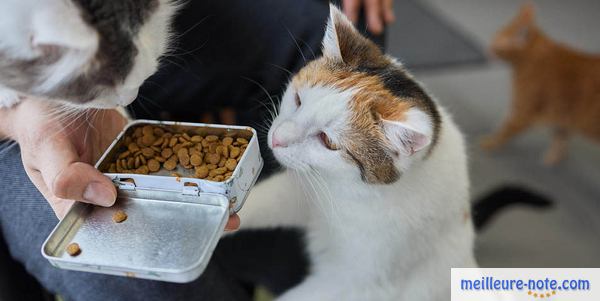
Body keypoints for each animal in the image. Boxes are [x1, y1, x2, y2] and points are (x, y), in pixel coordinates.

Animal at [237, 5, 476, 300]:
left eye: (327, 141)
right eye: (298, 99)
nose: (275, 139)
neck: (352, 193)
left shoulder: (356, 283)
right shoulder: (301, 192)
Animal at [480, 3, 600, 164]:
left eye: (496, 41)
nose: (488, 48)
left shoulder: (524, 112)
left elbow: (504, 130)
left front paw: (489, 142)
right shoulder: (562, 114)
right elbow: (560, 136)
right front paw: (554, 157)